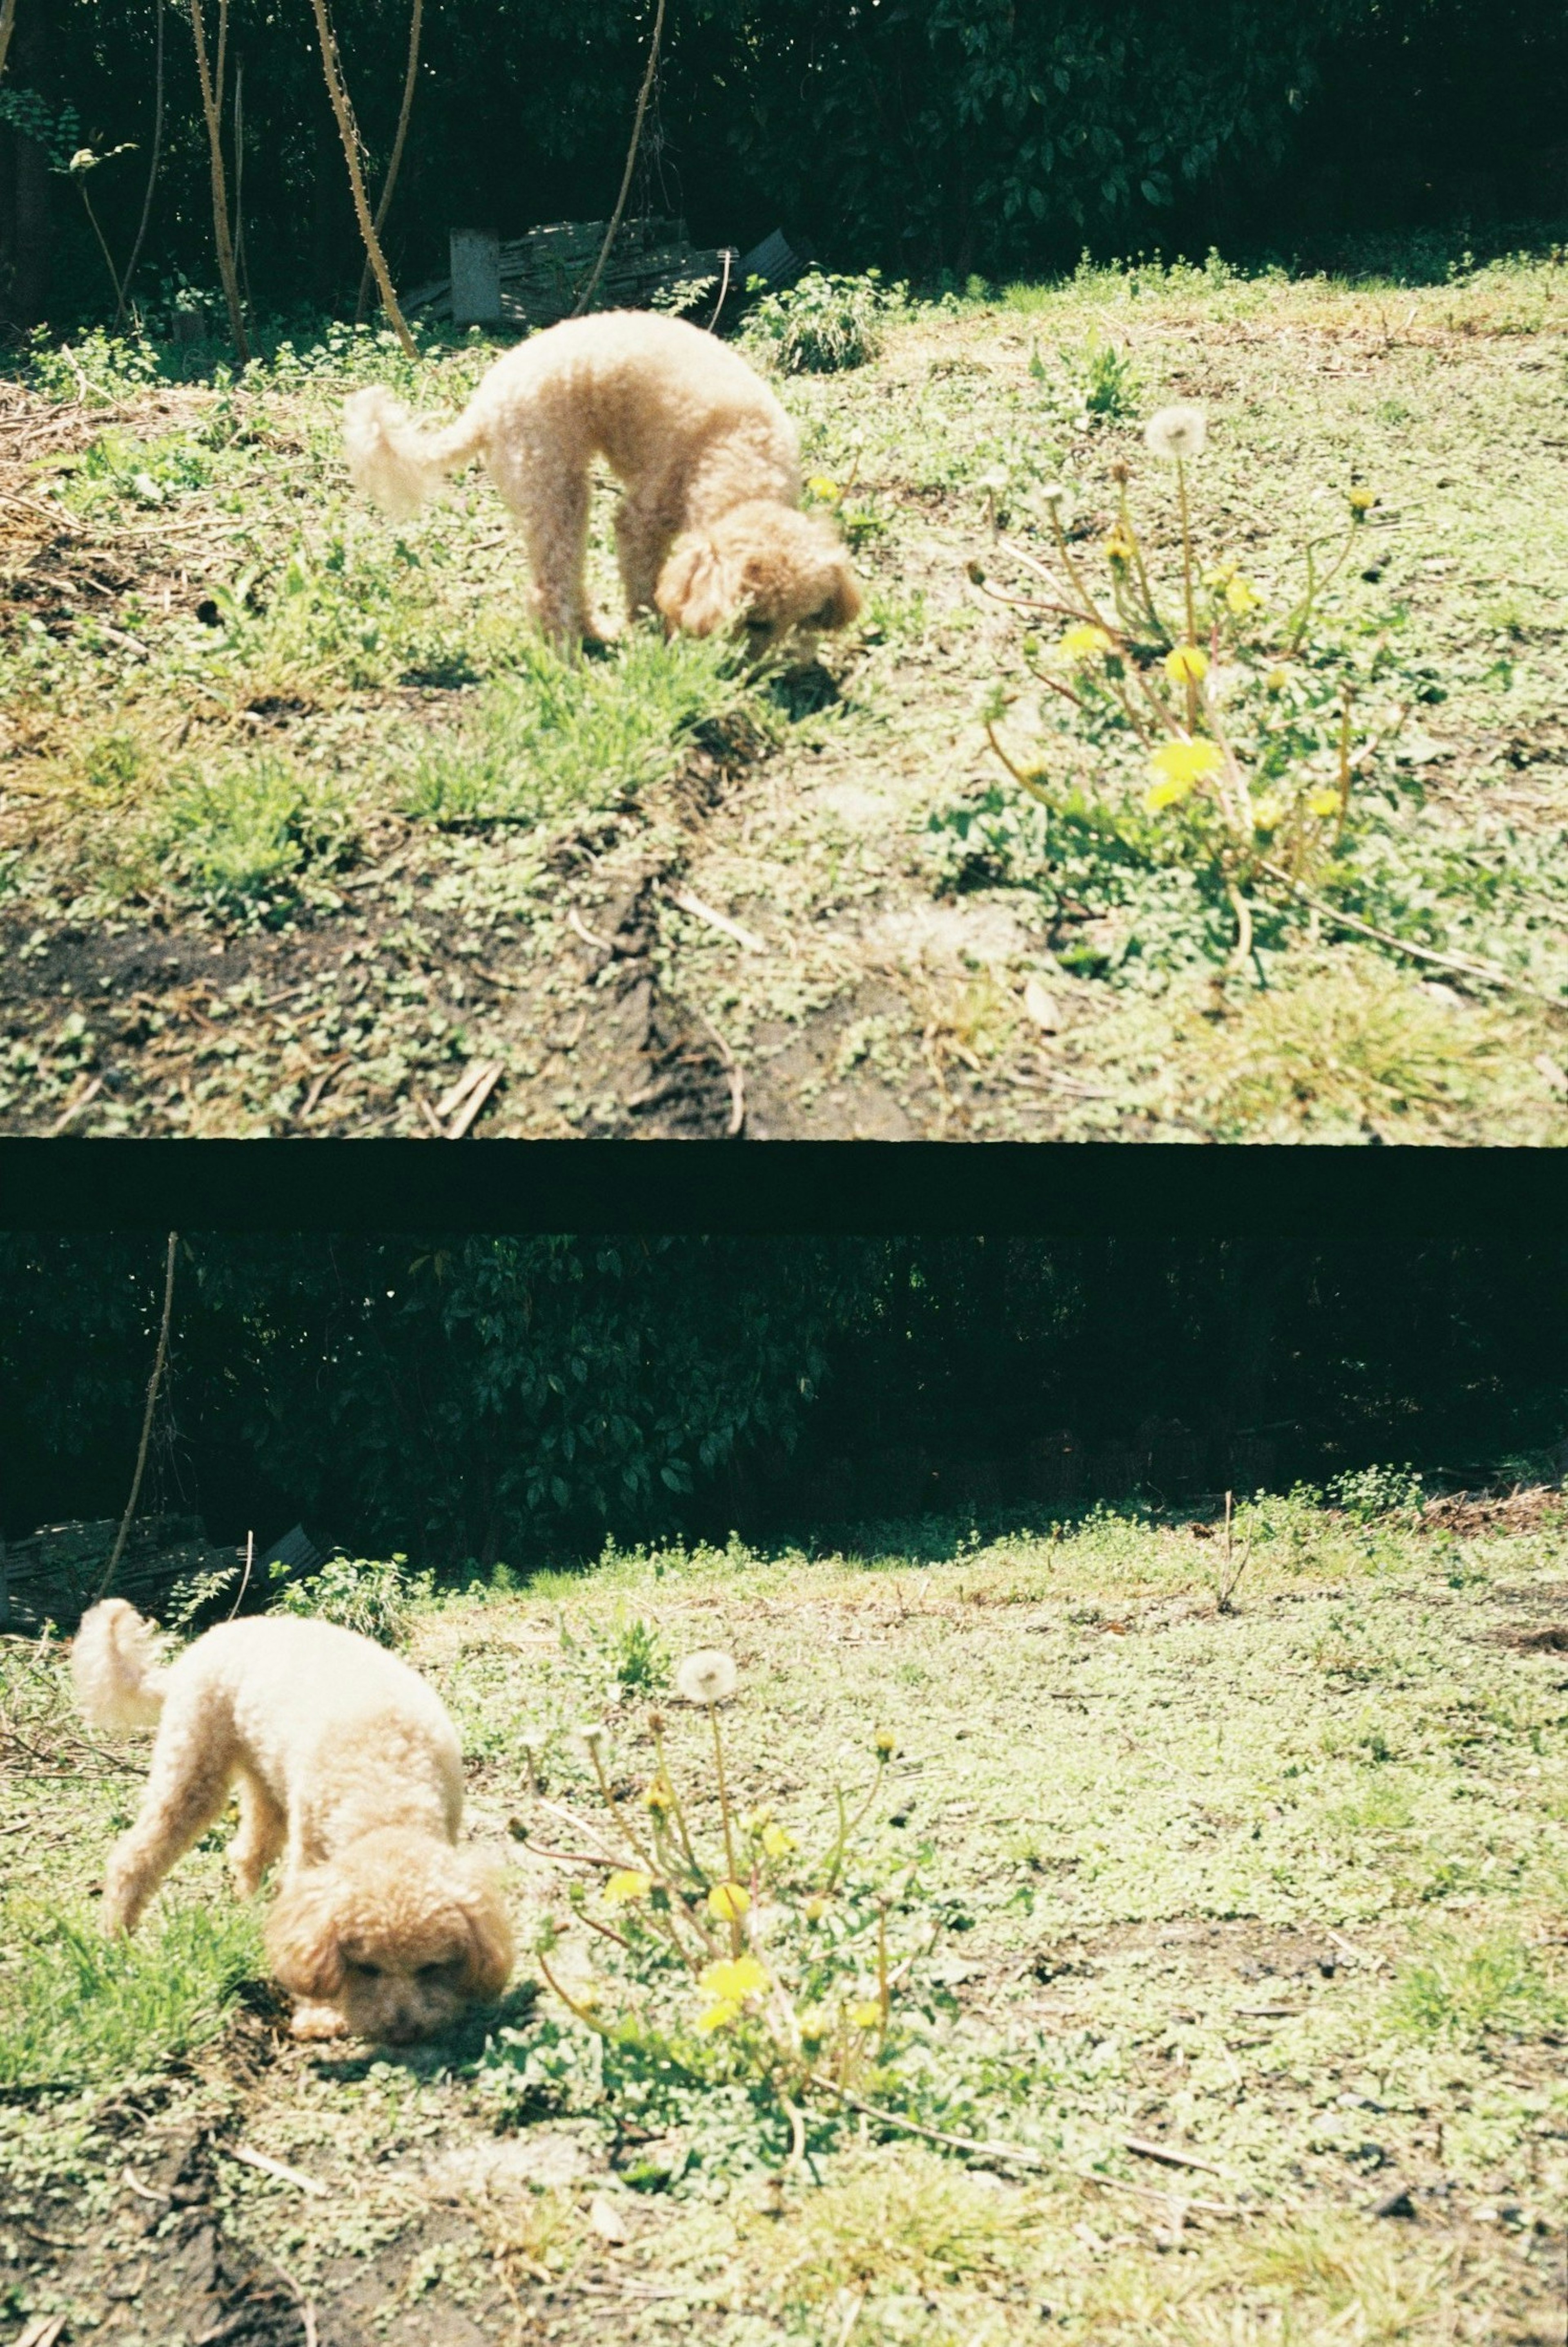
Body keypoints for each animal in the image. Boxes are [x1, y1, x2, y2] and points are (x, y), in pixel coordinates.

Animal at [72, 1596, 509, 2037]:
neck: (386, 1794)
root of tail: (197, 1650)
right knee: (134, 1856)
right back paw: (116, 1937)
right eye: (365, 1968)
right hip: (194, 1768)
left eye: (430, 1968)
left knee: (247, 1853)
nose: (401, 2031)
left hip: (267, 1781)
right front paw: (319, 2017)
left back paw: (252, 1912)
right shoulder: (312, 1861)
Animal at [340, 307, 859, 652]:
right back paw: (569, 656)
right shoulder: (643, 517)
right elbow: (644, 583)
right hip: (554, 481)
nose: (753, 671)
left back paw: (594, 633)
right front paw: (654, 632)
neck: (740, 454)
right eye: (754, 622)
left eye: (797, 622)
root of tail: (485, 405)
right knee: (551, 585)